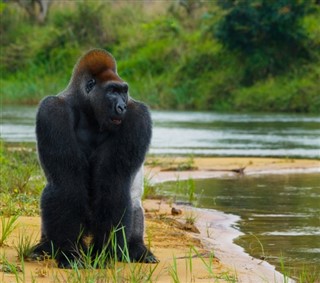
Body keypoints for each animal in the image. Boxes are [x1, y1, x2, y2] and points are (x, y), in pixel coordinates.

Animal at [31, 48, 158, 268]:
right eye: (112, 91)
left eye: (123, 91)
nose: (122, 107)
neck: (88, 111)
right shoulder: (53, 111)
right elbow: (68, 185)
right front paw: (70, 252)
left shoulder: (137, 116)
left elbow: (113, 185)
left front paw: (104, 252)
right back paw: (45, 247)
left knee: (133, 205)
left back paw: (136, 248)